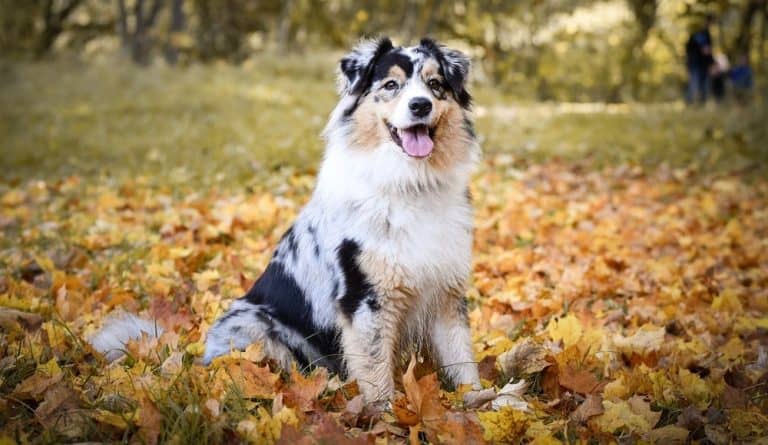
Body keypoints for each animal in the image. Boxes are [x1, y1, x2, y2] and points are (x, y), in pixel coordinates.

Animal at [94, 38, 480, 402]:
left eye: (435, 84)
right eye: (390, 85)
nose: (421, 105)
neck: (410, 183)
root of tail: (200, 355)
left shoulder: (446, 292)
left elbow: (463, 361)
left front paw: (481, 404)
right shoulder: (365, 298)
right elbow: (376, 375)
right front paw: (387, 418)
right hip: (255, 325)